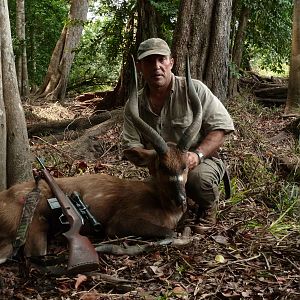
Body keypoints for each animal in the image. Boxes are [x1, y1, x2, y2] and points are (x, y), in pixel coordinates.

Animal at [0, 57, 202, 264]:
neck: (161, 203)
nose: (181, 200)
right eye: (161, 166)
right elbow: (170, 233)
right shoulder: (120, 222)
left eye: (185, 166)